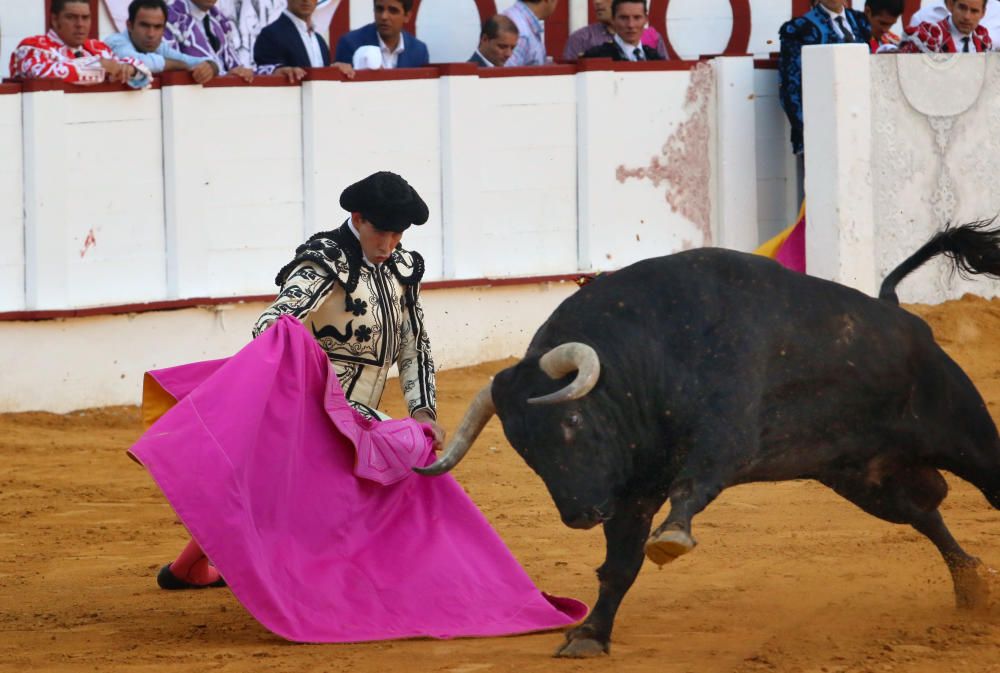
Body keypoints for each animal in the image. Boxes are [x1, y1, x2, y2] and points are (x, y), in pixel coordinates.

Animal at [418, 222, 1000, 656]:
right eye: (526, 451)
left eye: (572, 423)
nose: (581, 515)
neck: (652, 351)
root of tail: (901, 316)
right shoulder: (633, 492)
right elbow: (620, 564)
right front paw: (589, 635)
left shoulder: (724, 441)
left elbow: (691, 487)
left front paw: (672, 539)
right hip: (865, 476)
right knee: (923, 512)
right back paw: (971, 584)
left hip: (963, 435)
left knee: (983, 485)